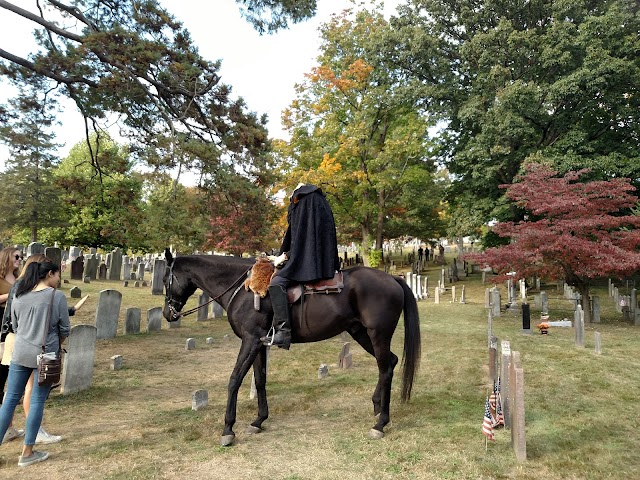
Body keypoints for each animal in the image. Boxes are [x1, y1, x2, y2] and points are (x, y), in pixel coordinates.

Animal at [161, 251, 420, 446]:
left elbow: (234, 380)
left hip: (378, 335)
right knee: (390, 363)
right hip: (361, 334)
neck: (244, 290)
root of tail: (392, 279)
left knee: (385, 369)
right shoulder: (259, 343)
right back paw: (377, 406)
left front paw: (228, 429)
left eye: (166, 280)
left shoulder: (250, 341)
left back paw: (380, 423)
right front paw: (259, 420)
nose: (167, 314)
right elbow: (259, 380)